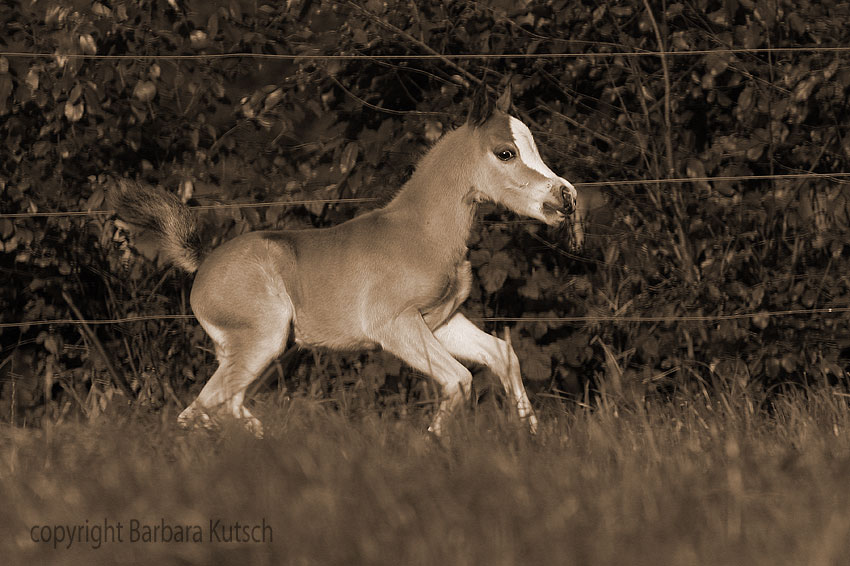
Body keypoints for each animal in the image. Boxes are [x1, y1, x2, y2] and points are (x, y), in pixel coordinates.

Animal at [112, 86, 576, 438]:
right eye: (505, 152)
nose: (565, 196)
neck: (420, 233)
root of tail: (203, 265)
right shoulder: (394, 325)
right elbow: (459, 380)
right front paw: (431, 444)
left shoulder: (440, 321)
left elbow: (503, 355)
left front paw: (533, 435)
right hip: (262, 342)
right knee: (198, 409)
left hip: (261, 353)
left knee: (224, 405)